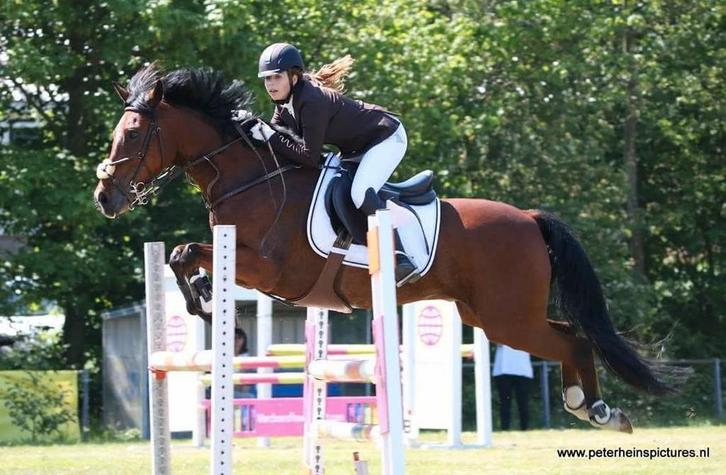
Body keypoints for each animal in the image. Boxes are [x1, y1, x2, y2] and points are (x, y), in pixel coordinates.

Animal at [94, 64, 678, 433]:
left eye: (134, 134)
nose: (105, 196)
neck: (251, 177)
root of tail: (531, 220)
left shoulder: (268, 269)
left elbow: (189, 254)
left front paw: (218, 316)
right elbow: (179, 257)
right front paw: (209, 308)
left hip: (508, 317)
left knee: (573, 340)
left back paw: (597, 410)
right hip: (490, 314)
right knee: (568, 335)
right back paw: (590, 406)